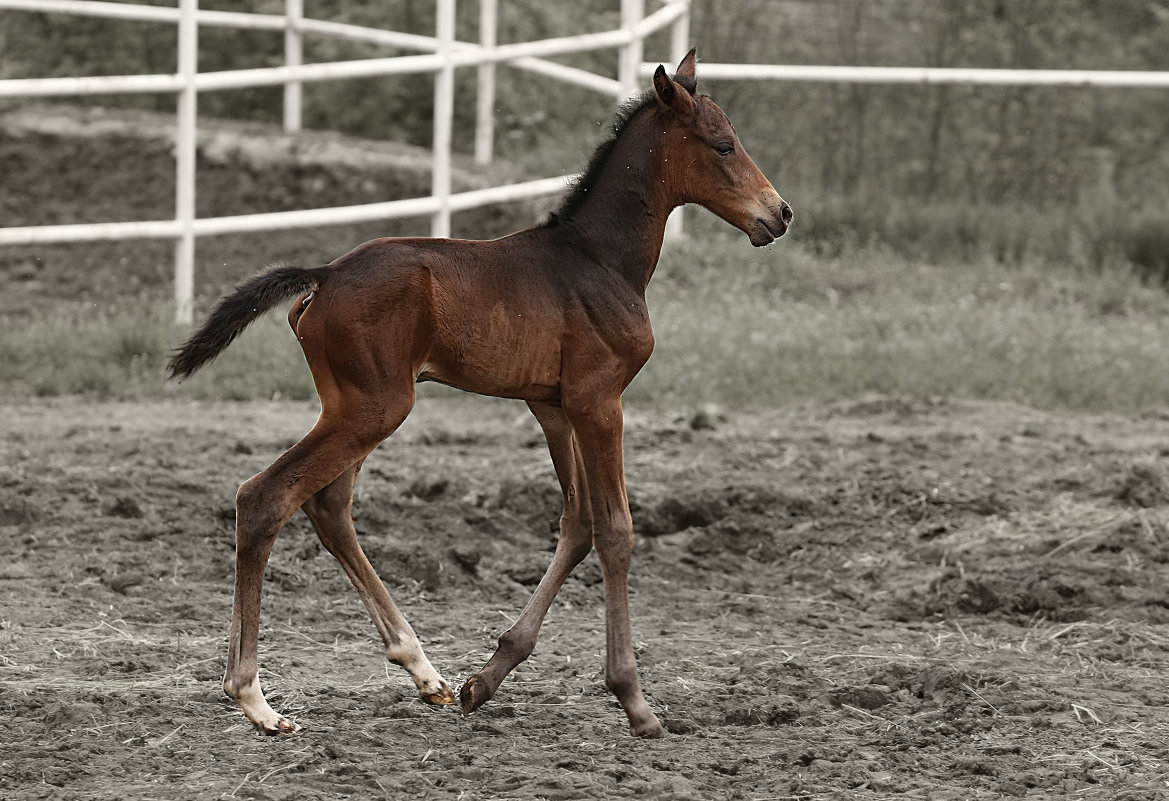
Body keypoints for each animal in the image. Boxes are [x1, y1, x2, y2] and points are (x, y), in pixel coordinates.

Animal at [170, 49, 794, 739]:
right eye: (723, 144)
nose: (779, 214)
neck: (599, 260)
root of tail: (324, 276)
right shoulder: (600, 400)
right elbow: (615, 530)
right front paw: (635, 702)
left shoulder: (554, 407)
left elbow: (577, 524)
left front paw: (486, 678)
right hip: (375, 407)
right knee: (265, 498)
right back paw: (256, 699)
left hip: (354, 407)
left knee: (328, 505)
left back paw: (425, 672)